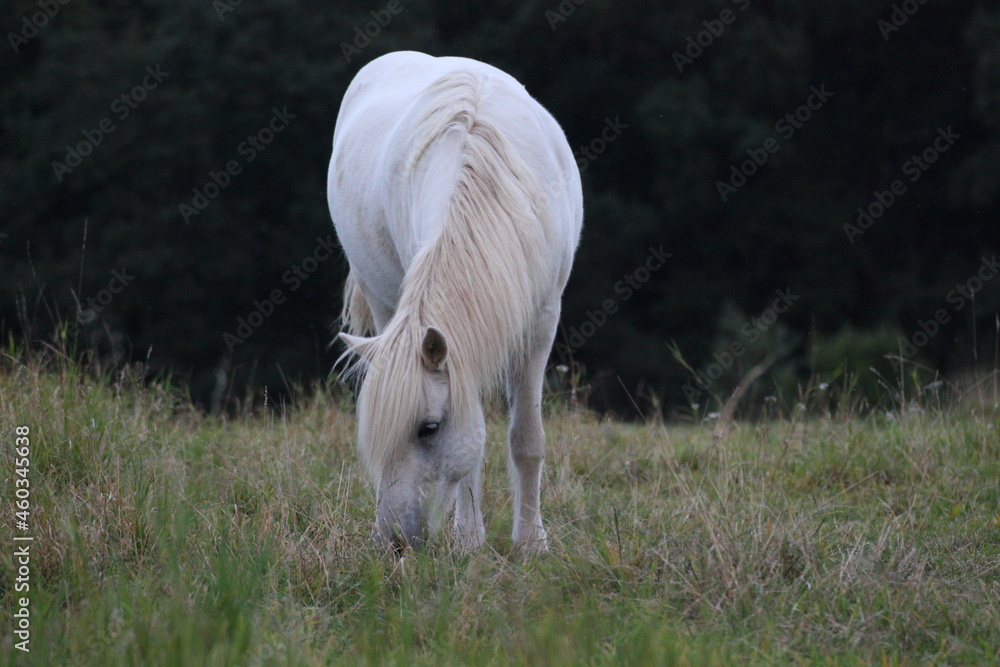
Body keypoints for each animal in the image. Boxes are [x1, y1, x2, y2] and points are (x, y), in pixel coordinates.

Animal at [327, 51, 582, 552]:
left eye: (428, 428)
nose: (394, 541)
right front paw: (469, 541)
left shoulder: (543, 319)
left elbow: (527, 438)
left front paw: (531, 543)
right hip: (383, 301)